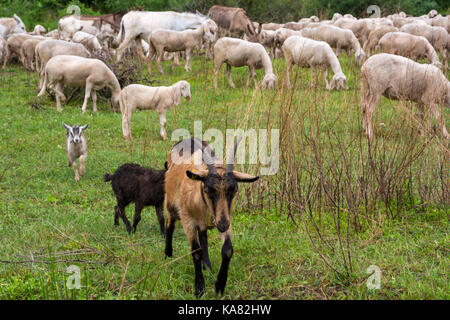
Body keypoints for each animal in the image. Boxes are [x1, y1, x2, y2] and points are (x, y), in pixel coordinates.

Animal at [163, 136, 258, 296]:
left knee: (203, 235)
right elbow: (196, 251)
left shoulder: (226, 218)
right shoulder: (188, 220)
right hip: (170, 204)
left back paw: (207, 267)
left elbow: (227, 250)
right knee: (169, 225)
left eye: (234, 189)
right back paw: (168, 255)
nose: (222, 224)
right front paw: (199, 288)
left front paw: (219, 285)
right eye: (207, 189)